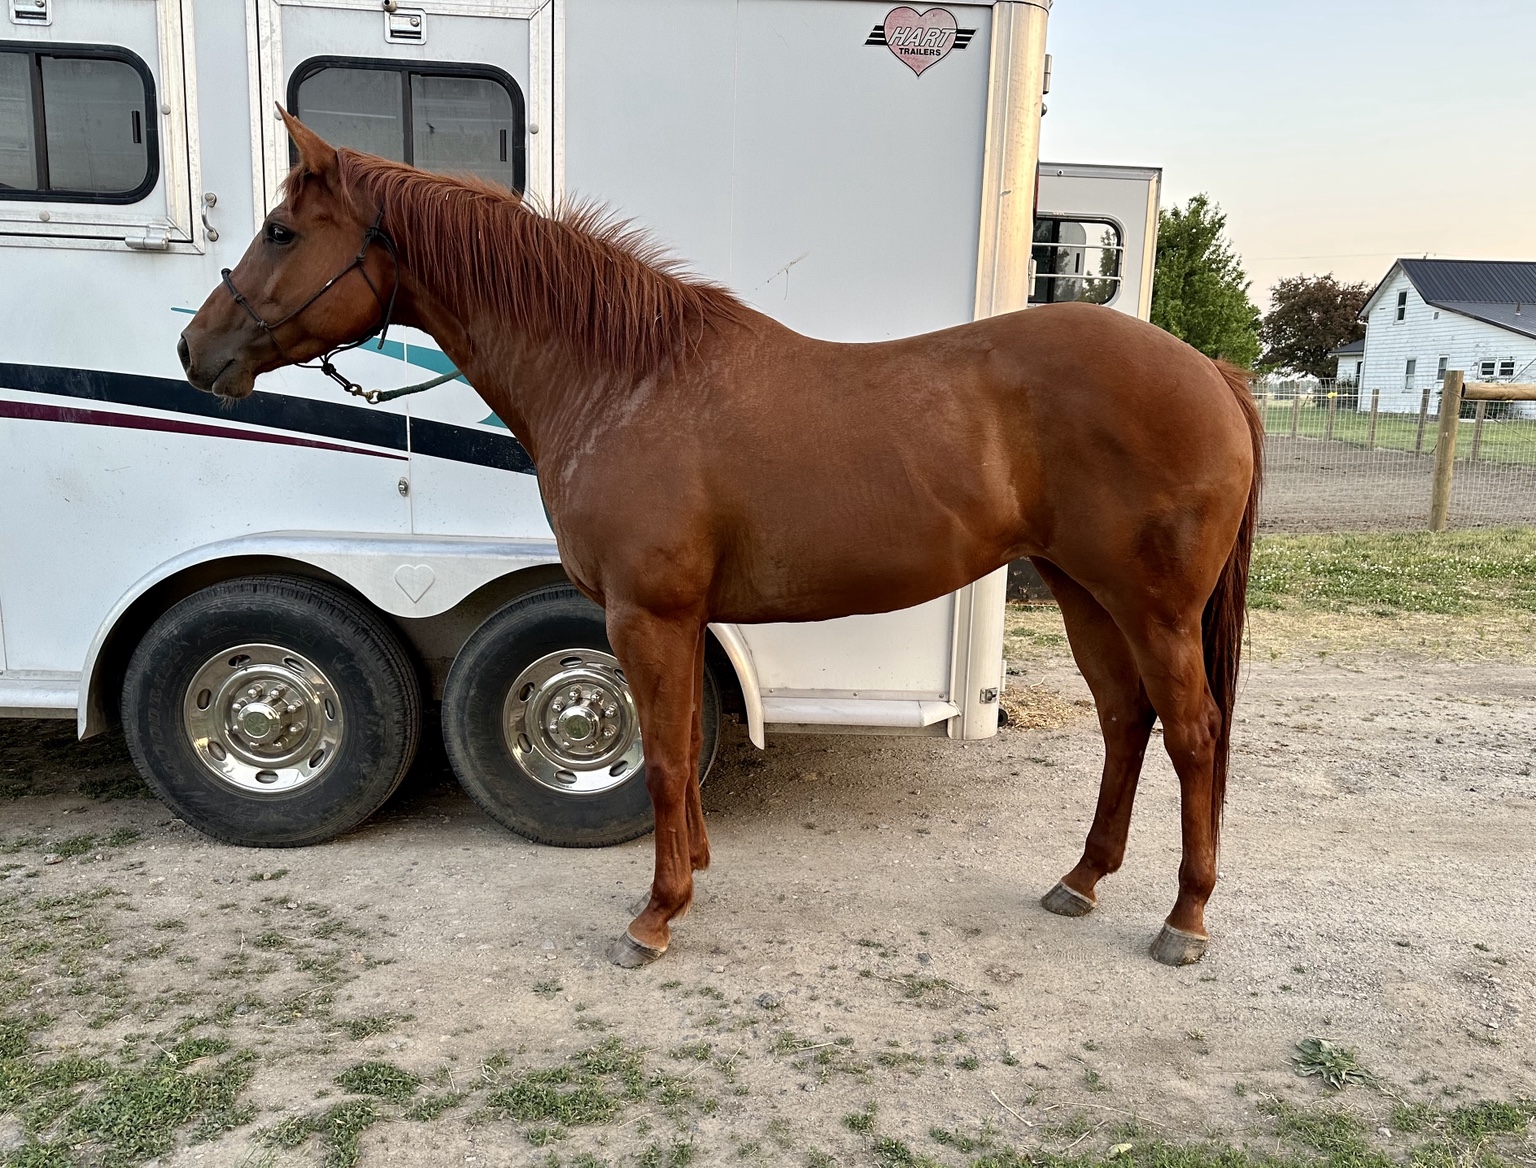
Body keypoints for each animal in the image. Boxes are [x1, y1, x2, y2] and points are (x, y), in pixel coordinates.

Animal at [179, 111, 1263, 969]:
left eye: (281, 229)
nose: (196, 349)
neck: (622, 379)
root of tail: (1210, 372)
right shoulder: (677, 617)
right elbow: (681, 741)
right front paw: (691, 871)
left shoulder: (644, 613)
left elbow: (661, 755)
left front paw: (656, 916)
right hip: (1087, 591)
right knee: (1126, 721)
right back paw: (1081, 879)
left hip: (1153, 606)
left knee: (1195, 733)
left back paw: (1185, 918)